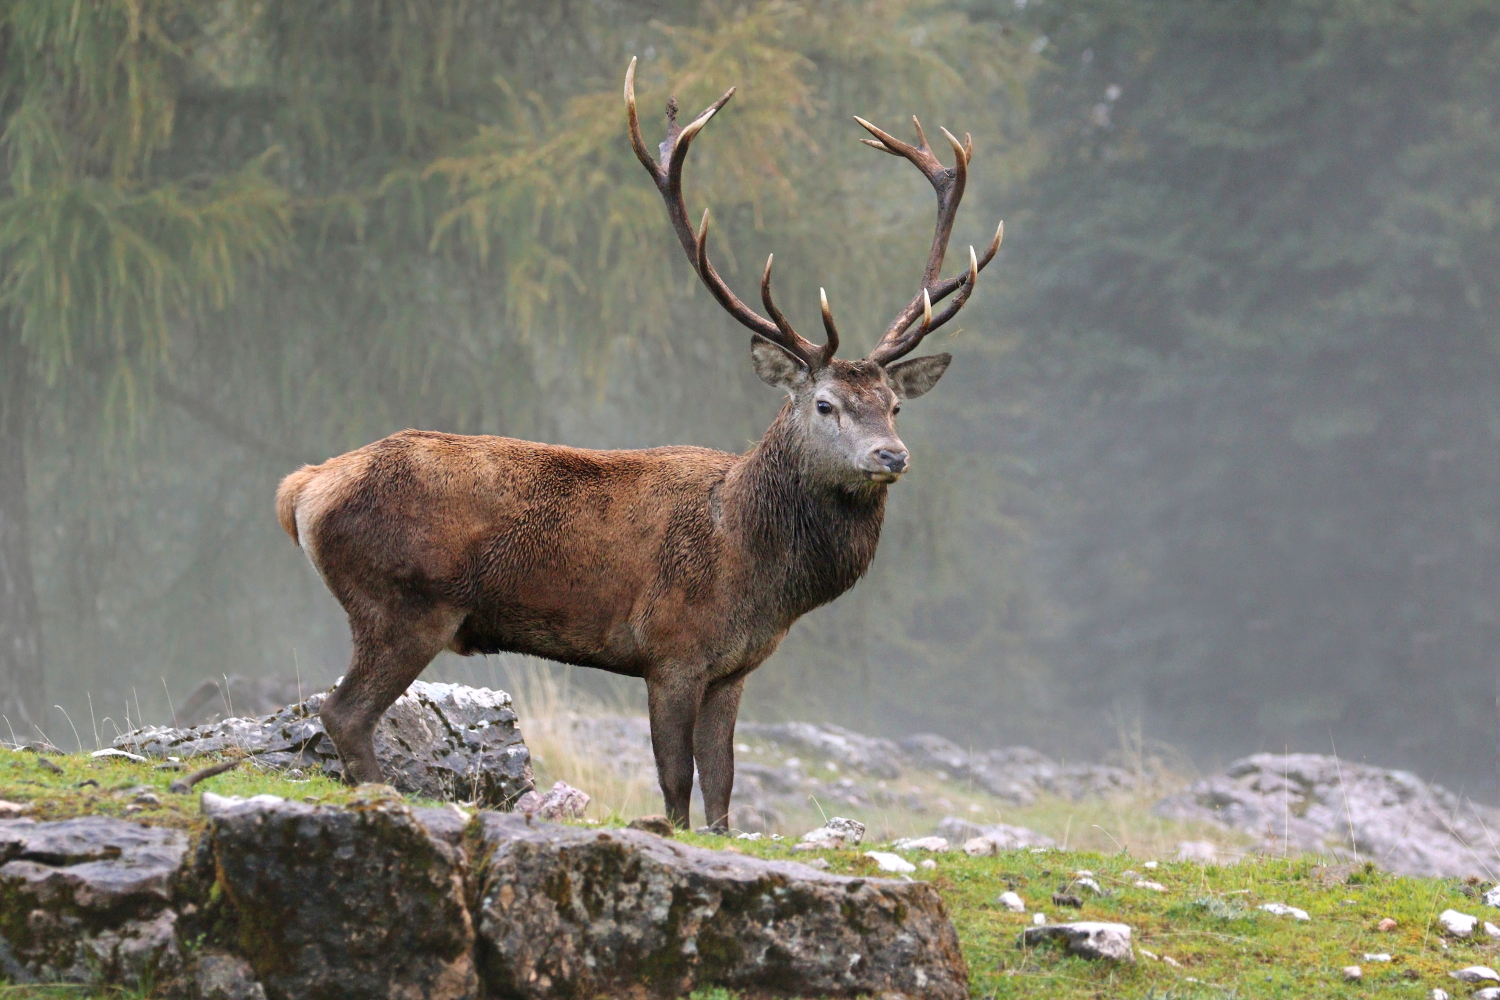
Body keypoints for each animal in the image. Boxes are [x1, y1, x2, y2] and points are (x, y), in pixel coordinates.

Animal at [274, 59, 1002, 830]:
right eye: (826, 403)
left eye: (894, 407)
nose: (891, 456)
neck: (753, 562)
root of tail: (305, 488)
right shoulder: (670, 649)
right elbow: (675, 782)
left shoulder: (733, 668)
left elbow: (722, 785)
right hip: (402, 603)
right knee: (343, 711)